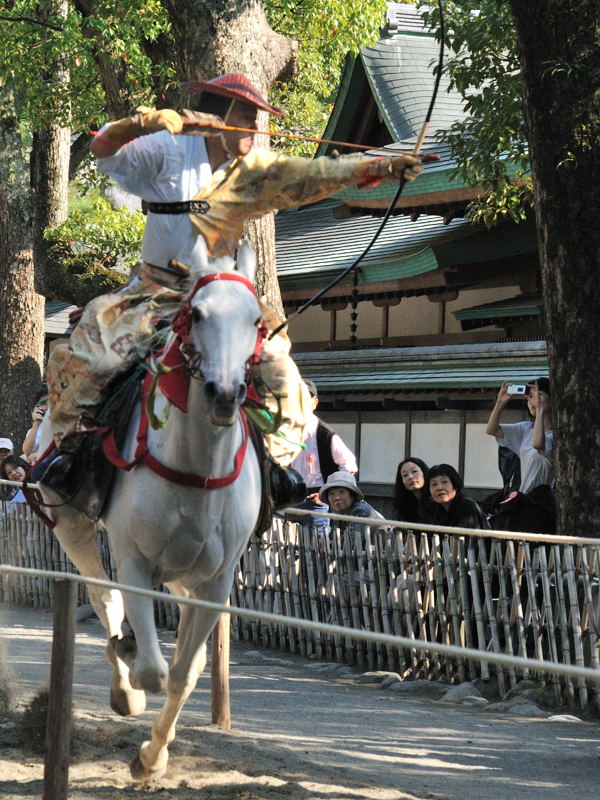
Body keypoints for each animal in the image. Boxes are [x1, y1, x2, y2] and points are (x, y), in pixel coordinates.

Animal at [38, 241, 262, 780]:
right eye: (196, 314)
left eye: (256, 320)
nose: (224, 394)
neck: (197, 470)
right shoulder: (135, 560)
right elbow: (153, 670)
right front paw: (132, 673)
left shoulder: (217, 581)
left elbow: (183, 674)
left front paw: (151, 757)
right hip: (71, 523)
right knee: (104, 599)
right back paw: (124, 683)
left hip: (186, 572)